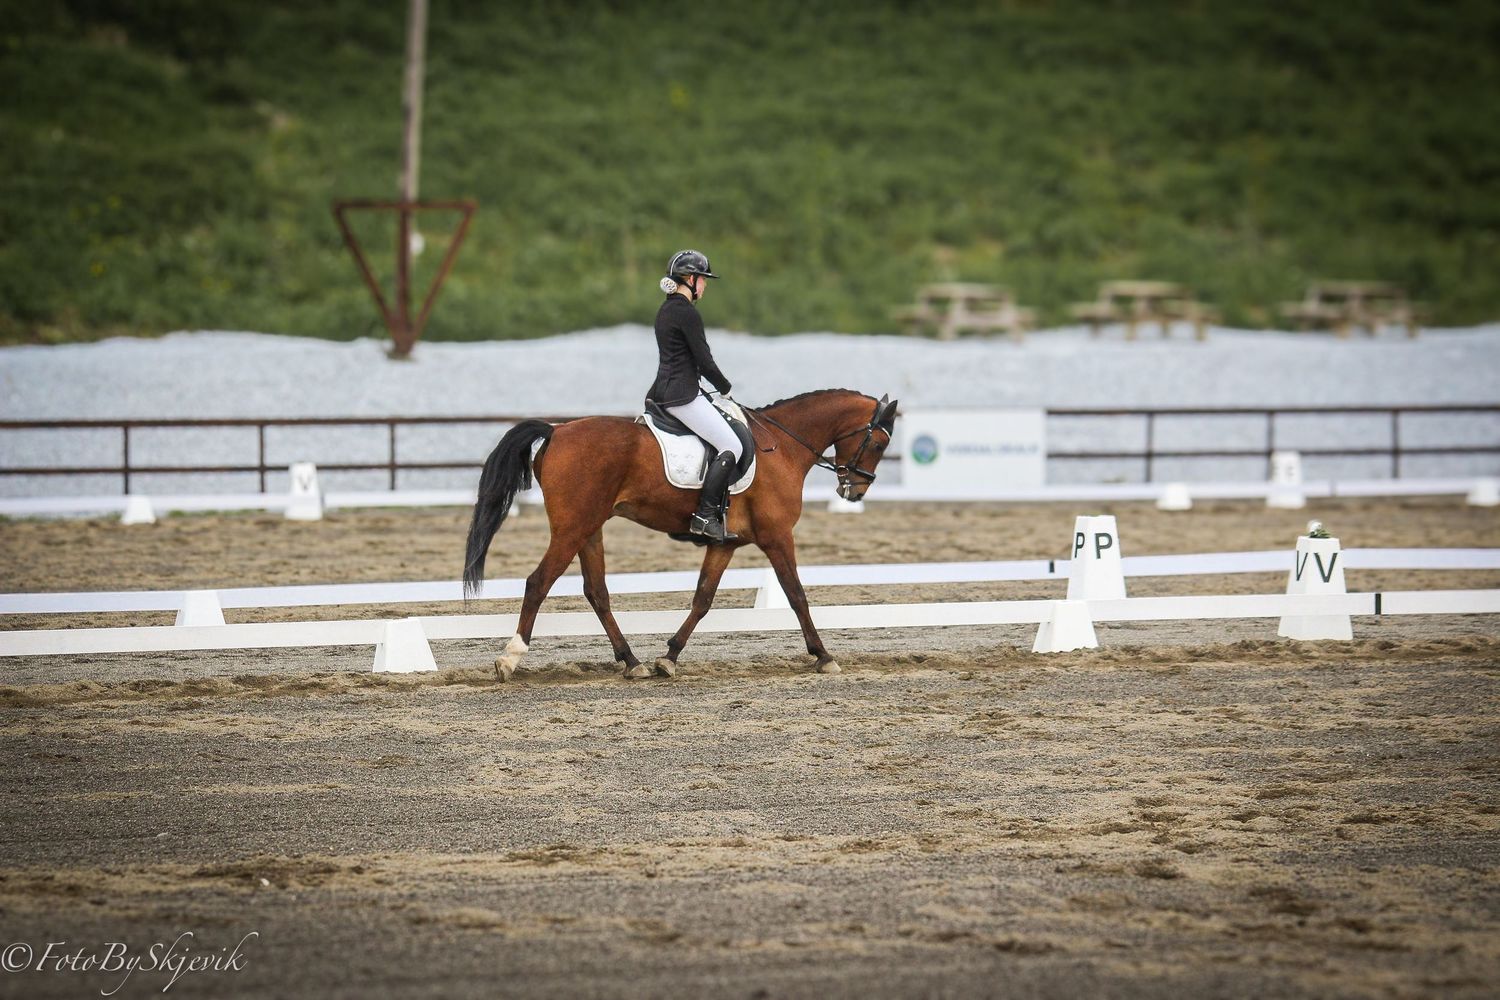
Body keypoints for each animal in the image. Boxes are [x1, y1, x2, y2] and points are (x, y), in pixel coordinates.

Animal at [463, 389, 899, 680]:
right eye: (879, 443)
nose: (855, 492)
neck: (784, 447)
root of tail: (556, 431)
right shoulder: (777, 537)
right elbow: (797, 595)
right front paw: (823, 655)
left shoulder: (727, 543)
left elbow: (703, 598)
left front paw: (669, 657)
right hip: (572, 528)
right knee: (539, 582)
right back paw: (509, 659)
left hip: (588, 528)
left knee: (597, 592)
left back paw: (632, 662)